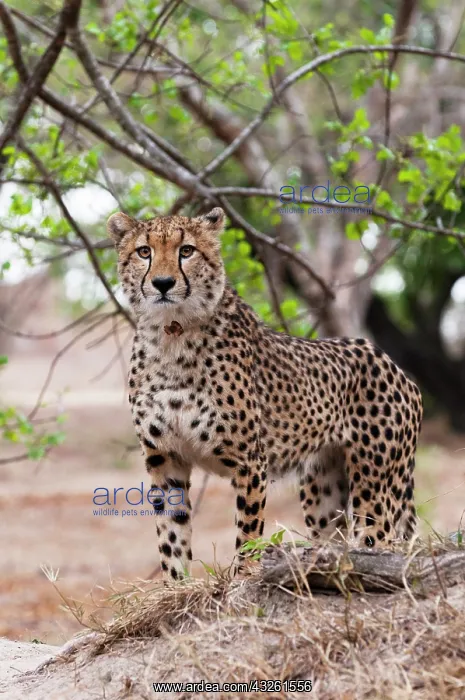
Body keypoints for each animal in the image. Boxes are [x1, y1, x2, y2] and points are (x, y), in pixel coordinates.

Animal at [108, 206, 423, 581]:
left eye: (186, 251)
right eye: (144, 252)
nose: (163, 283)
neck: (171, 334)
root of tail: (393, 365)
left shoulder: (249, 460)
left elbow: (248, 526)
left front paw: (245, 574)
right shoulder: (165, 458)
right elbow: (171, 534)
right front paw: (175, 584)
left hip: (374, 486)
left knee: (380, 538)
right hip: (323, 490)